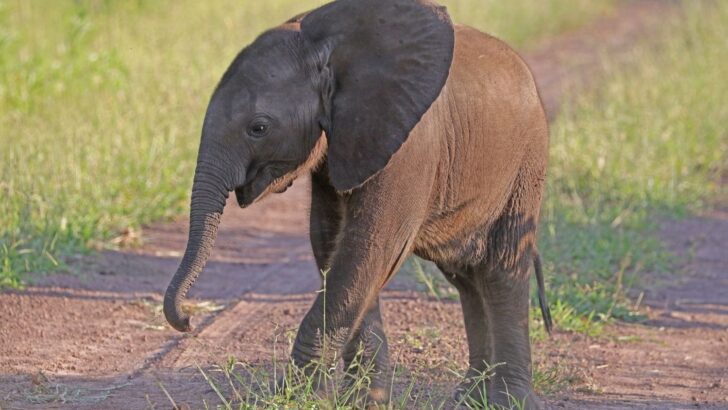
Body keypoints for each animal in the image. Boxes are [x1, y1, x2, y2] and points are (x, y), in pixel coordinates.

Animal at [163, 0, 552, 407]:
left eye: (259, 128)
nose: (187, 320)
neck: (327, 48)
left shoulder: (410, 144)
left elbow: (368, 247)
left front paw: (298, 398)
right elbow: (330, 241)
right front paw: (364, 399)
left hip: (525, 166)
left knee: (502, 270)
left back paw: (509, 400)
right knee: (466, 278)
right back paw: (469, 397)